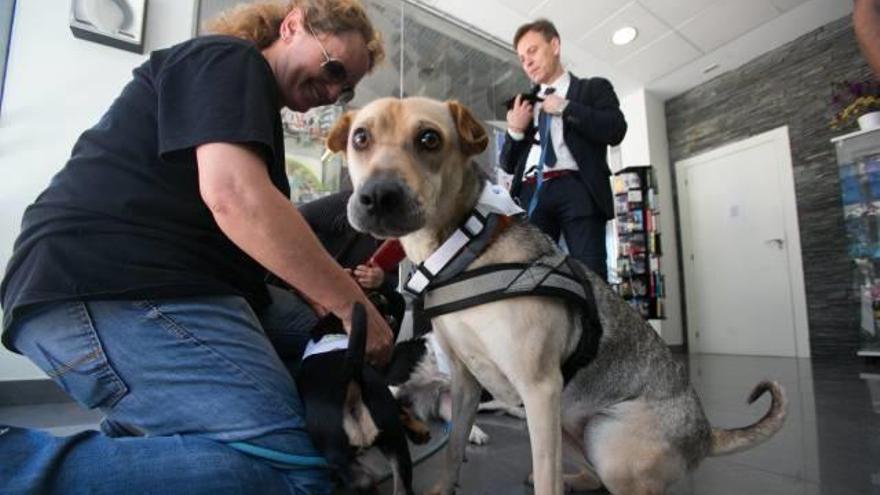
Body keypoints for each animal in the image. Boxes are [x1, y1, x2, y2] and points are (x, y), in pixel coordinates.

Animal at [326, 98, 788, 495]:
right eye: (360, 137)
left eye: (429, 139)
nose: (377, 196)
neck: (463, 247)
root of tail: (705, 431)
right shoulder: (465, 383)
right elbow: (453, 447)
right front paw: (443, 488)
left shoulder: (539, 389)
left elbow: (543, 474)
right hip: (568, 422)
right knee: (591, 475)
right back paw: (575, 479)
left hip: (604, 439)